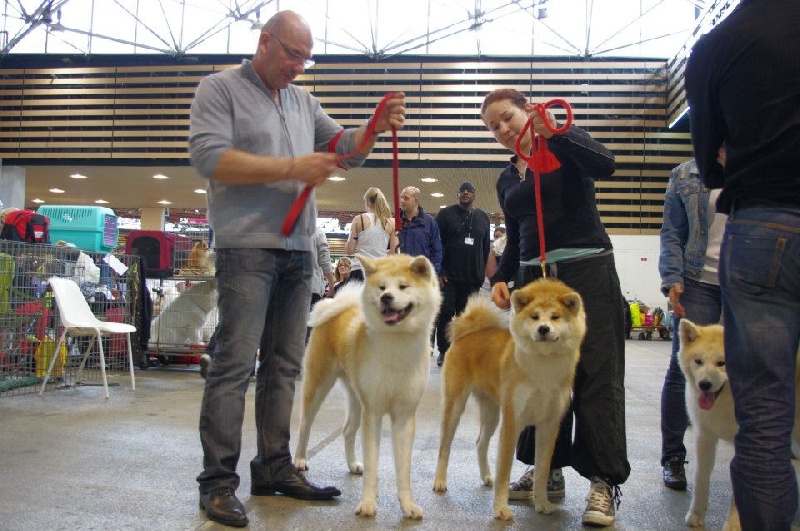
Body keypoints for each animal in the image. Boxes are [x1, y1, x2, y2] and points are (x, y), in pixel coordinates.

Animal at [296, 254, 440, 520]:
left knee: (347, 430)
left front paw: (408, 505)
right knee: (305, 425)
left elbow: (403, 469)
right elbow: (373, 463)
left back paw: (353, 464)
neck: (396, 343)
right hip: (319, 385)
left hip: (356, 396)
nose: (386, 298)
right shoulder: (373, 412)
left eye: (403, 286)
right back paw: (300, 459)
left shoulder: (403, 416)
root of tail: (337, 306)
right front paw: (368, 504)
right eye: (382, 288)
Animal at [434, 280, 584, 520]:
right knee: (444, 446)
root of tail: (466, 334)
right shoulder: (513, 421)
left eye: (555, 317)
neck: (544, 366)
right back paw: (440, 481)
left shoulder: (549, 425)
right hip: (455, 405)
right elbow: (504, 470)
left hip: (492, 413)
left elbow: (542, 470)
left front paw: (542, 503)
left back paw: (486, 476)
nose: (543, 329)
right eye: (534, 316)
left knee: (480, 442)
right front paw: (501, 508)